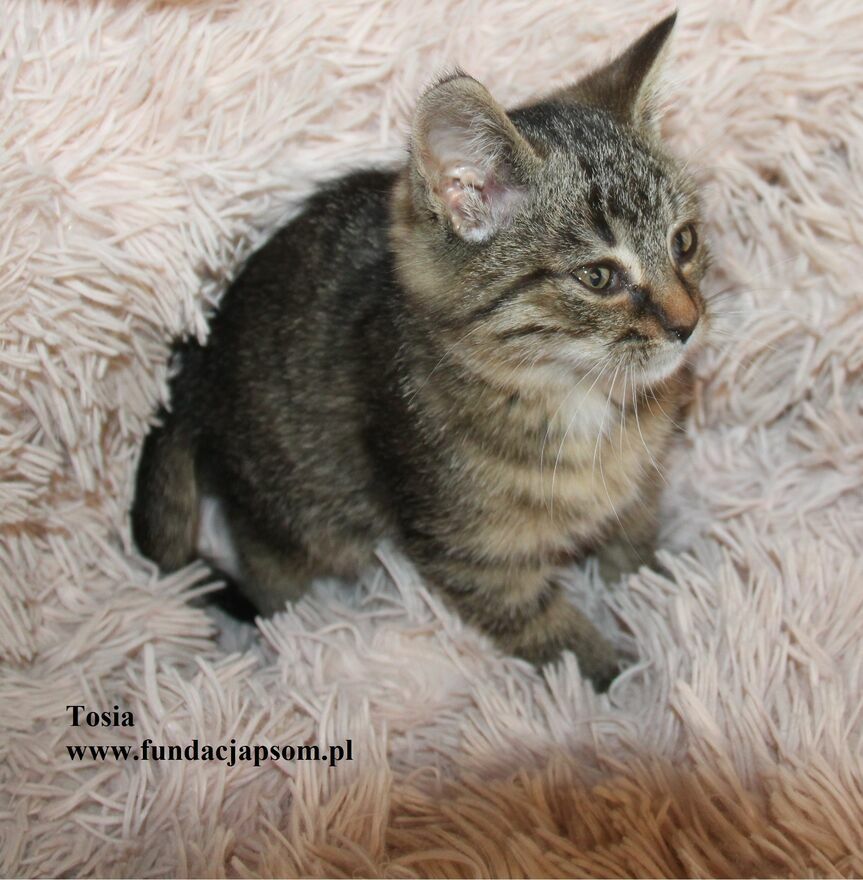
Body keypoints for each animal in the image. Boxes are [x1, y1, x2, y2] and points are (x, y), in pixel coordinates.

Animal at [132, 12, 709, 691]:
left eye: (684, 242)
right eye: (598, 278)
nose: (688, 324)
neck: (570, 397)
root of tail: (197, 364)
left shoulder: (637, 491)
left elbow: (635, 548)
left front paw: (663, 595)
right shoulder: (465, 548)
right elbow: (544, 627)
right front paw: (614, 676)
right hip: (293, 506)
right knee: (268, 560)